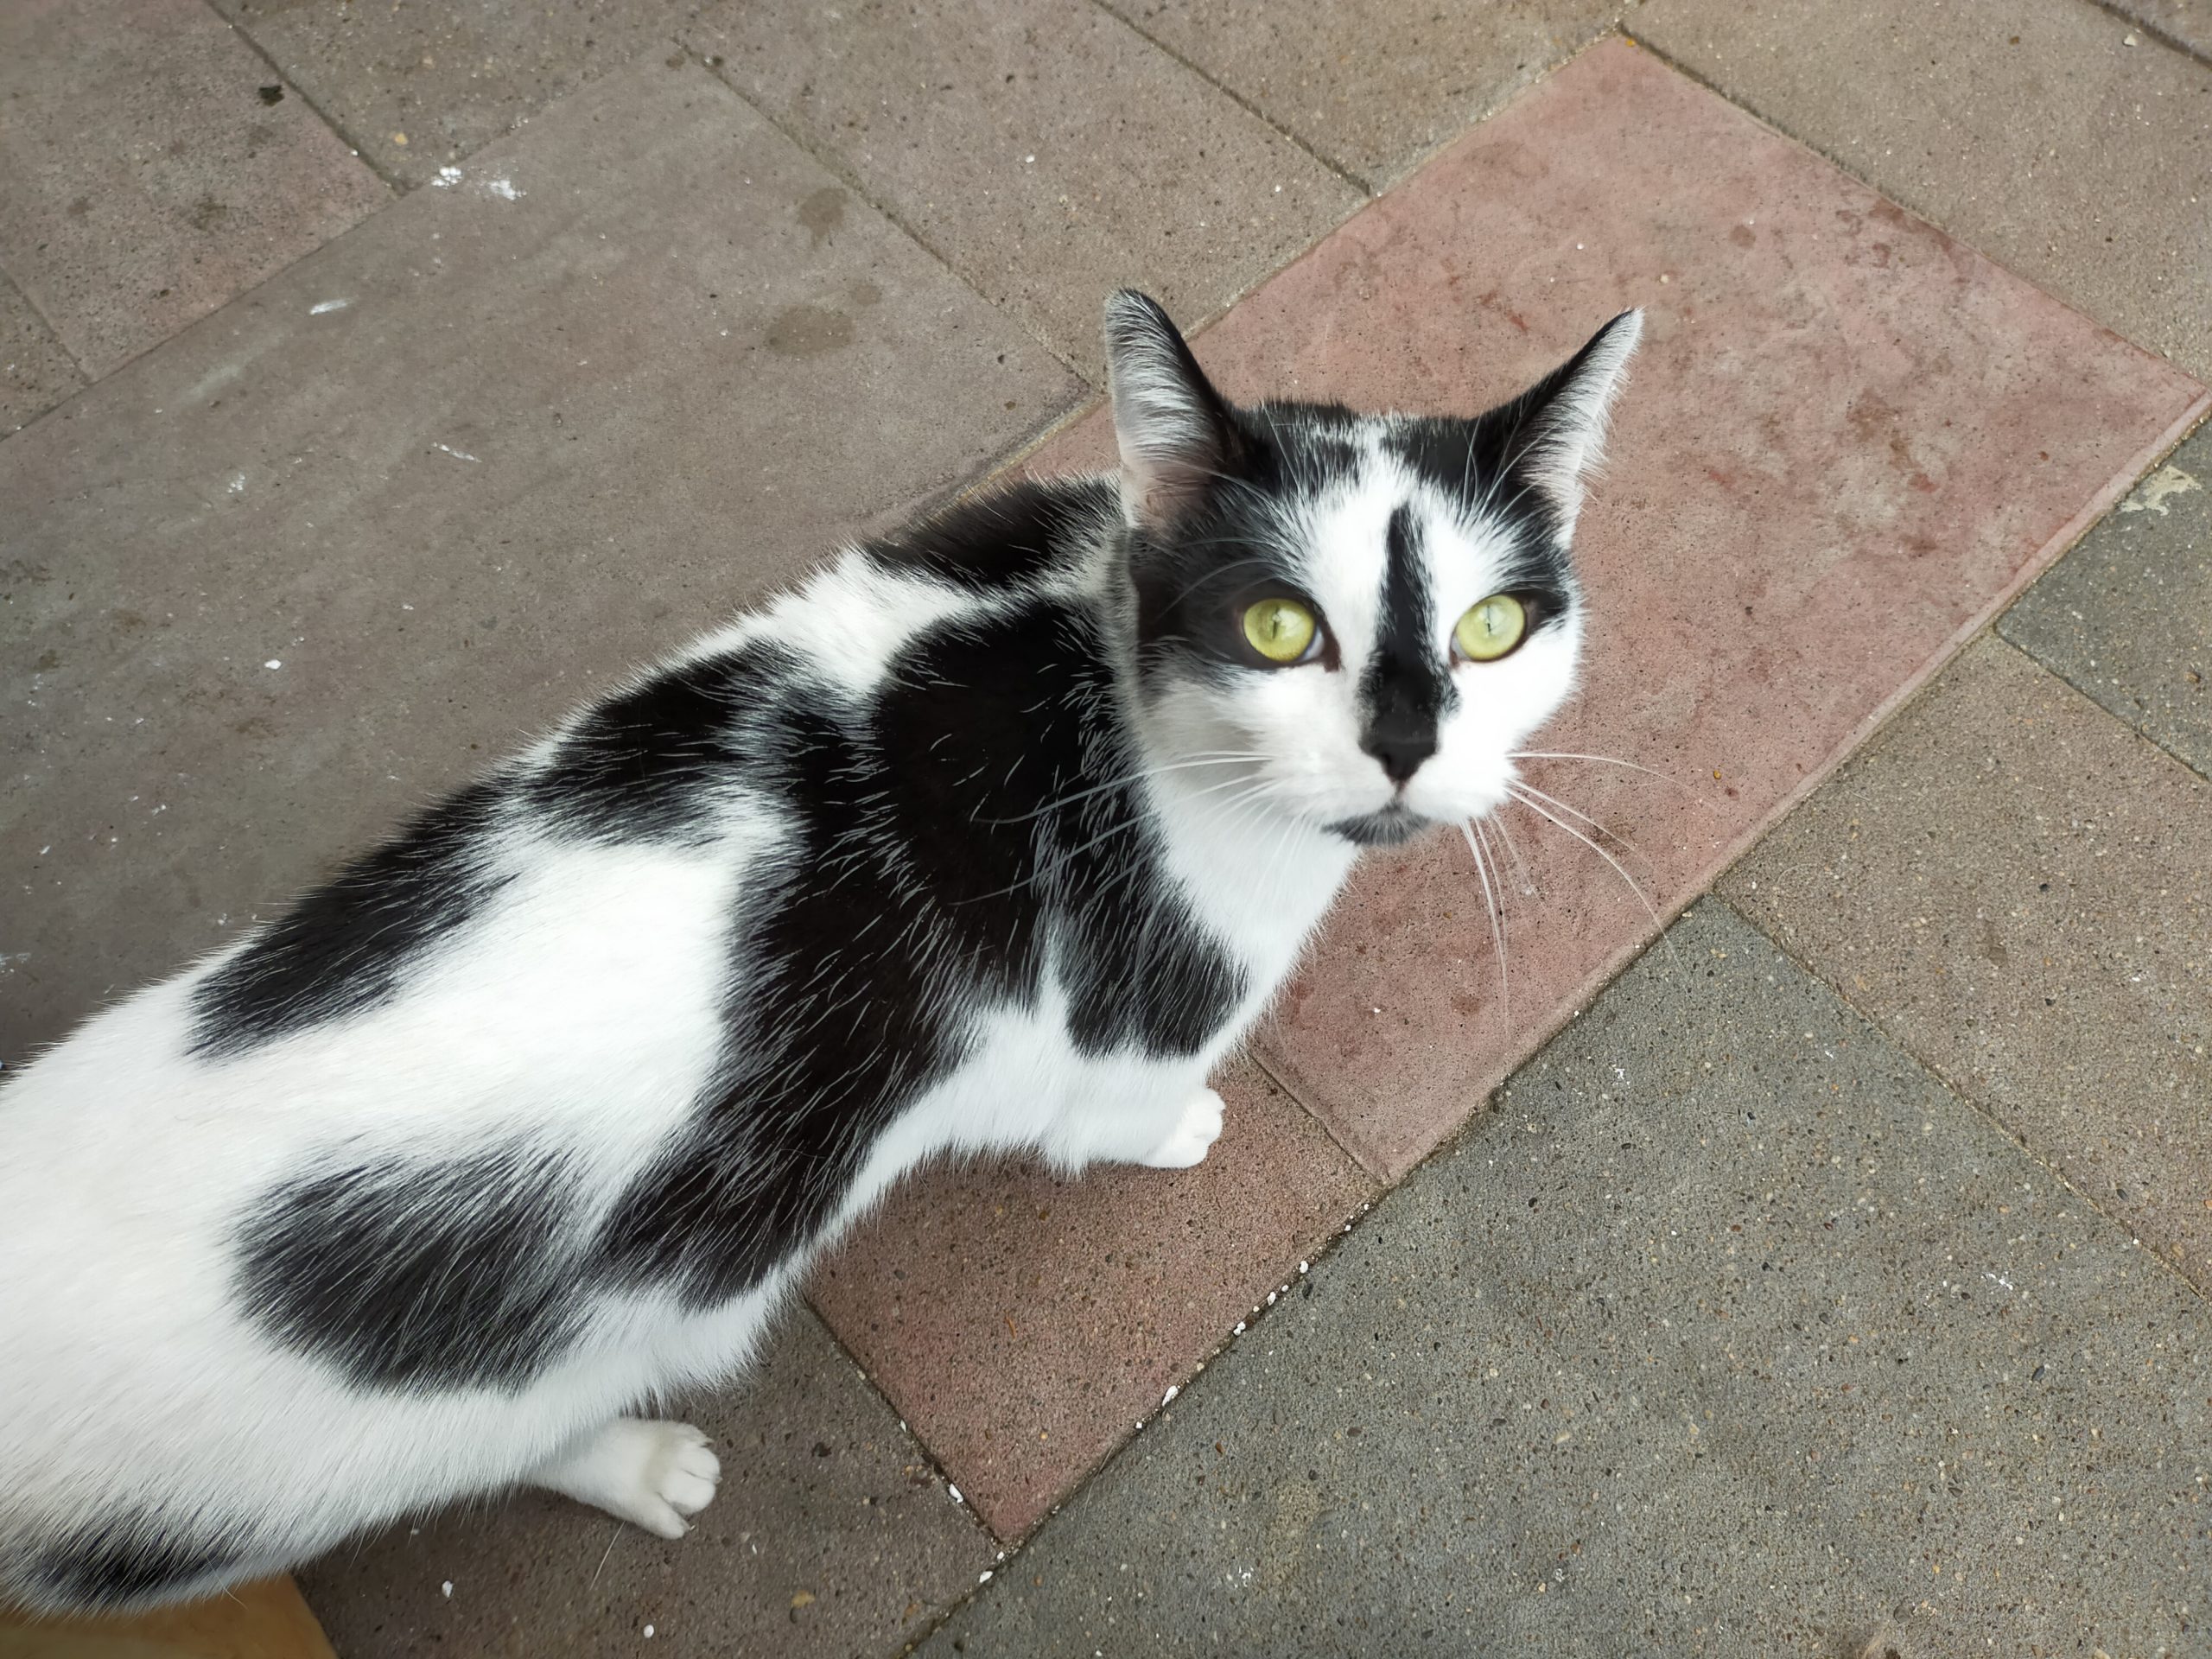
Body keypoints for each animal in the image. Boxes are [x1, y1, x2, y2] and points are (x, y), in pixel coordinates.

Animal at [0, 290, 1639, 1613]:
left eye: (1494, 627)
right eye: (1282, 626)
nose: (1408, 748)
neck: (1102, 655)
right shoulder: (1128, 1011)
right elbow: (1106, 1109)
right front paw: (1178, 1130)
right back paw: (641, 1464)